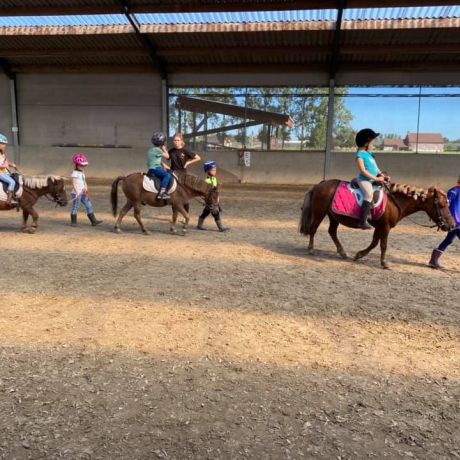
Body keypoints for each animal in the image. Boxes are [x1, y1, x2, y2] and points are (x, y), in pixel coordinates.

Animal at [300, 178, 454, 268]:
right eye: (441, 205)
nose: (451, 225)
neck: (394, 202)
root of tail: (319, 184)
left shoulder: (380, 226)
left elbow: (374, 242)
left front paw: (359, 255)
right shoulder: (385, 227)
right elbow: (383, 245)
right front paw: (384, 263)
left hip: (334, 216)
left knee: (332, 232)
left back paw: (342, 252)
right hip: (320, 213)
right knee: (313, 229)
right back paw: (311, 249)